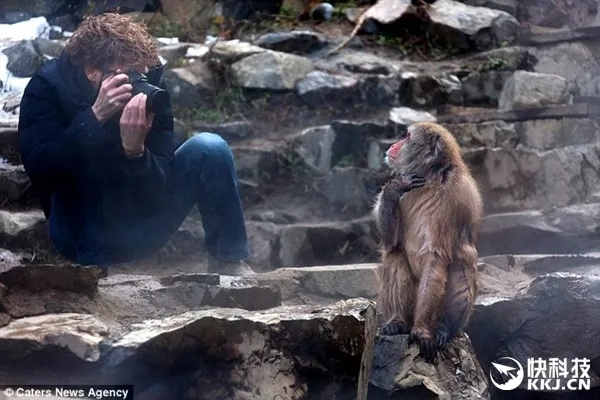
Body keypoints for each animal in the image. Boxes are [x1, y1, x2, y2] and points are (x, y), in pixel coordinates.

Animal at [372, 122, 486, 362]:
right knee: (395, 254)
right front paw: (394, 187)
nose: (393, 145)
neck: (430, 177)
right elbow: (391, 242)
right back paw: (397, 322)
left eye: (407, 137)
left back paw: (443, 329)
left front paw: (421, 331)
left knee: (463, 260)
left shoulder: (450, 201)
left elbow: (436, 257)